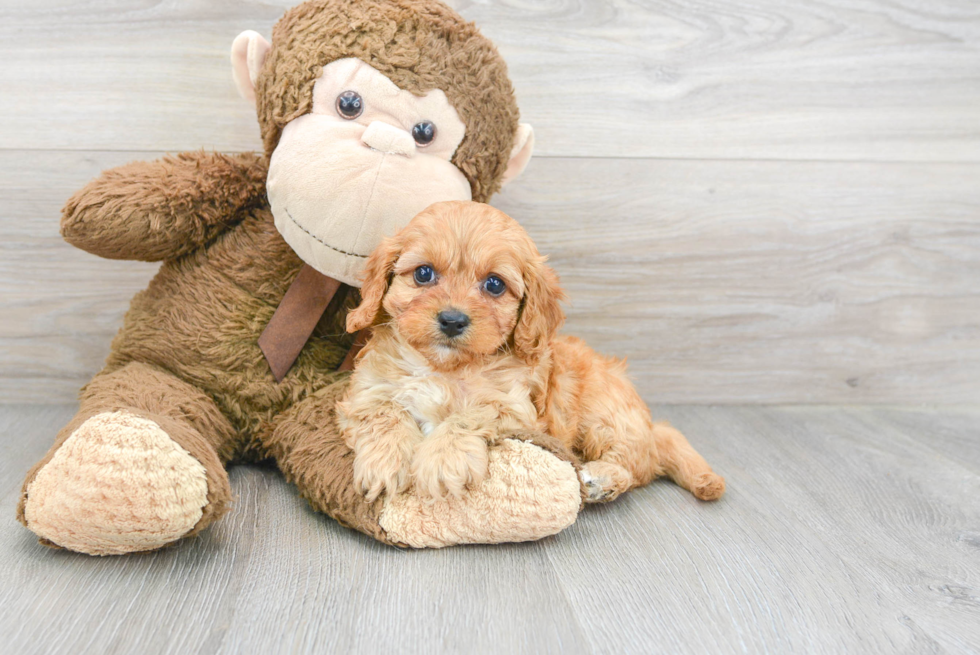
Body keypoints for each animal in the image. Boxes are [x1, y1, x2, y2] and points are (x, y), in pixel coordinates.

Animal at [336, 200, 728, 502]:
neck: (445, 368)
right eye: (423, 274)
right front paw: (385, 462)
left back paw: (601, 479)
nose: (452, 320)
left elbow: (469, 414)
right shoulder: (367, 391)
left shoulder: (514, 409)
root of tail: (648, 424)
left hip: (605, 416)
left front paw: (444, 461)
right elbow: (385, 411)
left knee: (637, 464)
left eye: (494, 284)